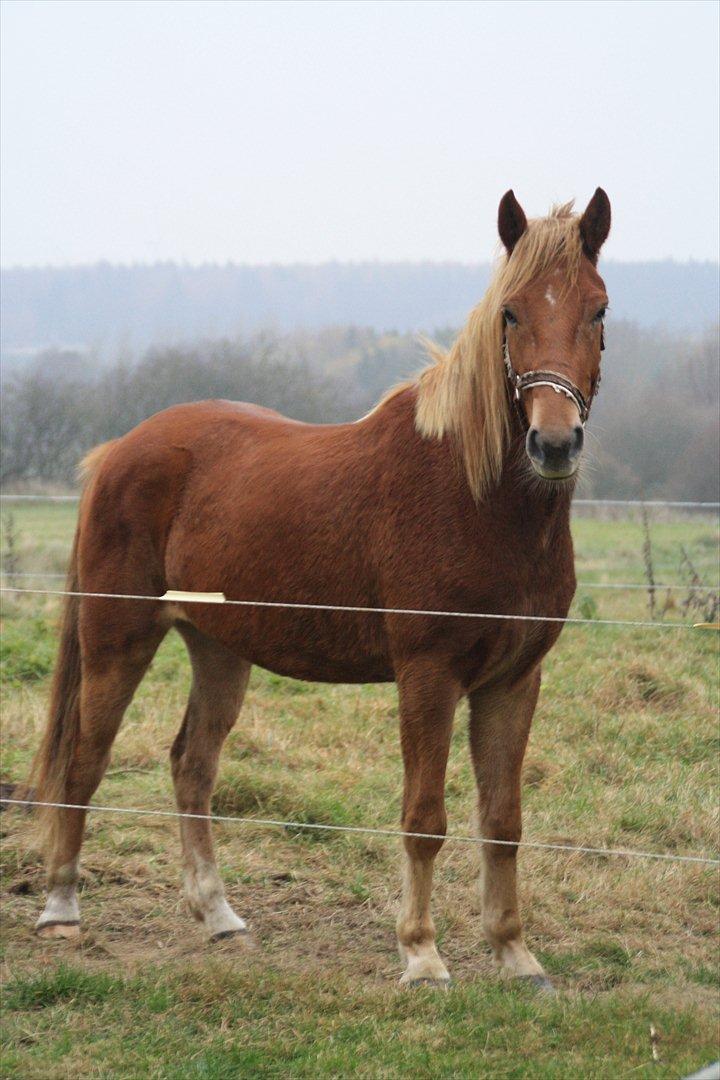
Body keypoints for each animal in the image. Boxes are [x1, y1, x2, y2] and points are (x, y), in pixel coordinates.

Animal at [31, 187, 613, 989]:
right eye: (511, 313)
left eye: (599, 310)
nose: (553, 444)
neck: (477, 499)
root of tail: (121, 449)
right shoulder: (428, 675)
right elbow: (425, 818)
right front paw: (421, 955)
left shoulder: (514, 681)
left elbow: (502, 822)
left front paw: (515, 954)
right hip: (118, 638)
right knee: (86, 760)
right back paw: (61, 909)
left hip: (219, 649)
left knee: (192, 767)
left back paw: (220, 917)